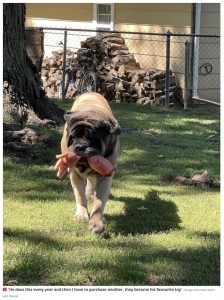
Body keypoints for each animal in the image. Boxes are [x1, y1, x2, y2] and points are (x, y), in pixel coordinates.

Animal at [60, 92, 121, 233]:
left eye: (92, 138)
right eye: (73, 138)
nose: (80, 147)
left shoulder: (105, 177)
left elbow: (99, 203)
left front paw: (96, 222)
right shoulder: (74, 174)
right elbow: (80, 195)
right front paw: (82, 214)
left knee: (91, 181)